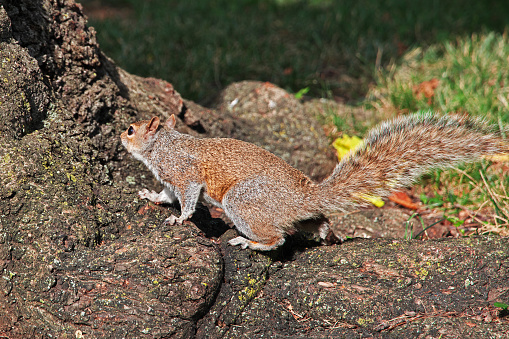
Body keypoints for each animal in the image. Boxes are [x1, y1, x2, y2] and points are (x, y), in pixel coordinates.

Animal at [121, 113, 506, 251]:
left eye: (130, 128)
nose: (120, 137)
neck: (163, 145)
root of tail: (303, 198)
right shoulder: (169, 179)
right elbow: (165, 194)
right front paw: (150, 196)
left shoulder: (185, 175)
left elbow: (187, 198)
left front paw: (181, 218)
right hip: (298, 215)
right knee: (314, 223)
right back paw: (327, 234)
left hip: (242, 201)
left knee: (277, 238)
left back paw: (251, 243)